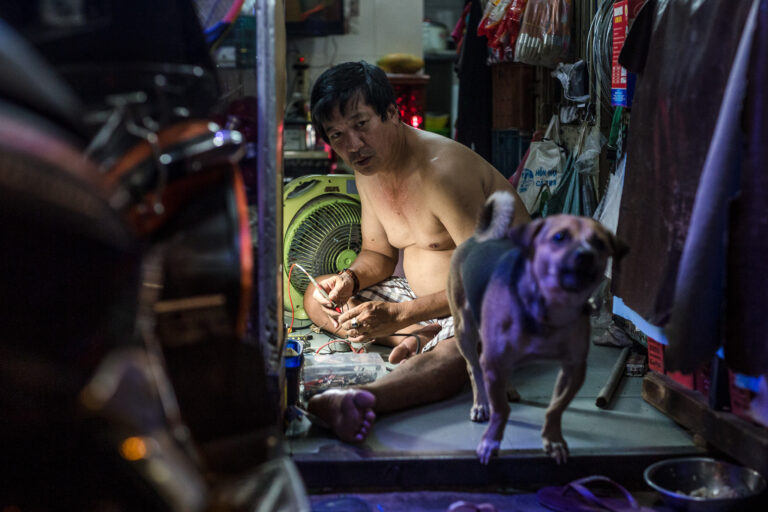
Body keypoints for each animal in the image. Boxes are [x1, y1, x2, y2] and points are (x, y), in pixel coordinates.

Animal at [448, 192, 628, 464]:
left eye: (600, 242)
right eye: (559, 237)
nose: (585, 256)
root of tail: (476, 237)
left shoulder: (574, 368)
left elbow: (555, 408)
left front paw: (553, 441)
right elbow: (499, 408)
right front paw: (491, 439)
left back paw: (508, 389)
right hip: (464, 328)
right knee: (473, 367)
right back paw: (481, 404)